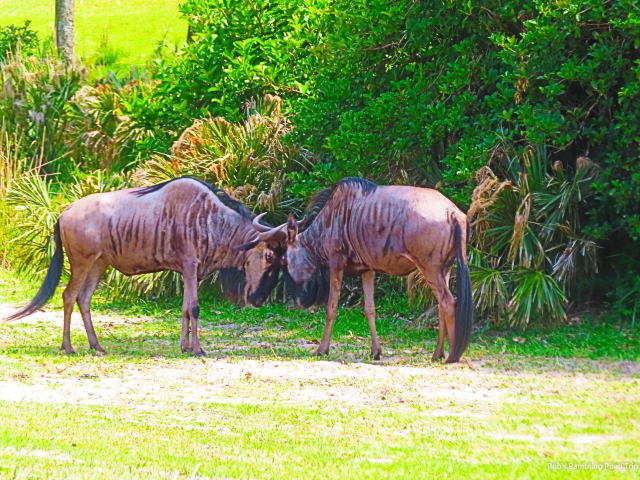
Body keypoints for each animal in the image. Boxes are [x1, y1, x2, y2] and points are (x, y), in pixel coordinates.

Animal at [5, 177, 288, 356]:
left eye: (282, 260)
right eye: (269, 256)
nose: (259, 299)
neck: (211, 220)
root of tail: (64, 212)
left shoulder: (189, 273)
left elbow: (185, 308)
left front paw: (185, 347)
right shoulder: (190, 266)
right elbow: (195, 308)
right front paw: (197, 349)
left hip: (99, 265)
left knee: (83, 299)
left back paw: (96, 346)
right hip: (82, 263)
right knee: (68, 296)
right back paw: (69, 347)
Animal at [283, 177, 472, 363]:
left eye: (284, 260)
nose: (295, 301)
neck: (329, 220)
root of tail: (453, 212)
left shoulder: (336, 263)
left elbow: (331, 308)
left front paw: (321, 350)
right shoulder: (367, 270)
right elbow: (369, 310)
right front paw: (376, 352)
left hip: (430, 269)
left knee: (448, 302)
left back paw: (453, 356)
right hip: (444, 269)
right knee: (441, 306)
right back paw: (437, 355)